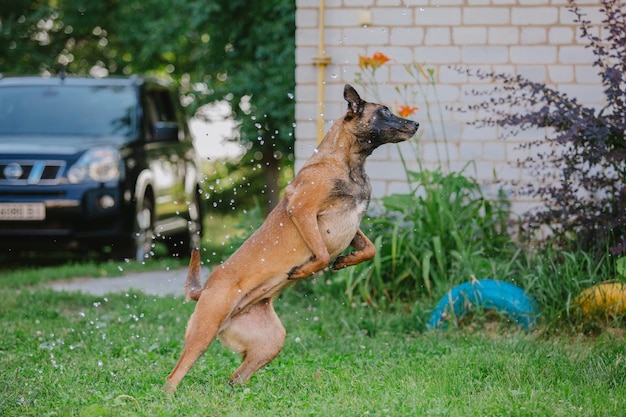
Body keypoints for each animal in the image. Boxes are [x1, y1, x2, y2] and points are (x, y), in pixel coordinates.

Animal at [163, 83, 416, 390]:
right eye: (384, 111)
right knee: (173, 377)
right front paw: (302, 271)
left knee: (234, 379)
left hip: (270, 343)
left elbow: (370, 250)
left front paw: (345, 261)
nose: (416, 124)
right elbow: (321, 255)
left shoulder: (352, 226)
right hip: (204, 331)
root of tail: (203, 291)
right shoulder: (302, 210)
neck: (348, 163)